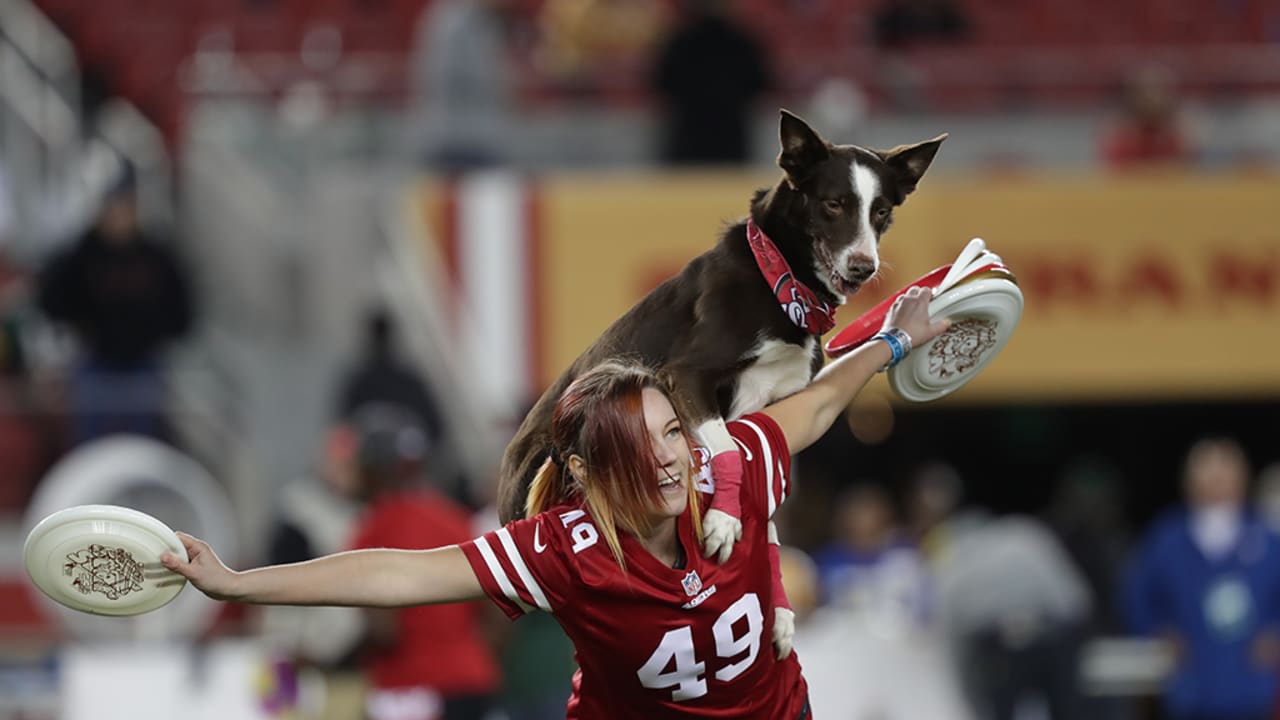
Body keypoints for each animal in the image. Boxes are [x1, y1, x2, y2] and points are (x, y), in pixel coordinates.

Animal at [494, 109, 947, 648]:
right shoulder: (684, 376)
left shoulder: (782, 404)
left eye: (880, 212)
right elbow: (727, 446)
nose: (864, 267)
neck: (781, 284)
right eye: (834, 204)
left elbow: (766, 505)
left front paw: (779, 605)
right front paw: (724, 523)